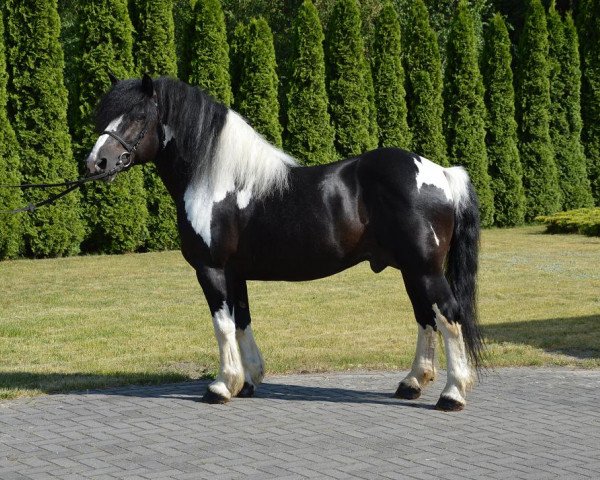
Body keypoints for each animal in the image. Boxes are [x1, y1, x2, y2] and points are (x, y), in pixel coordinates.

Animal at [86, 76, 486, 412]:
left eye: (138, 117)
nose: (96, 162)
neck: (218, 182)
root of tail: (443, 174)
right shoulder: (235, 273)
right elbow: (242, 321)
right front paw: (247, 382)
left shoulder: (211, 270)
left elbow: (222, 325)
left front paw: (221, 386)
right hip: (412, 270)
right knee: (425, 318)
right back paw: (411, 384)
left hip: (425, 270)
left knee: (448, 316)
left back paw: (452, 395)